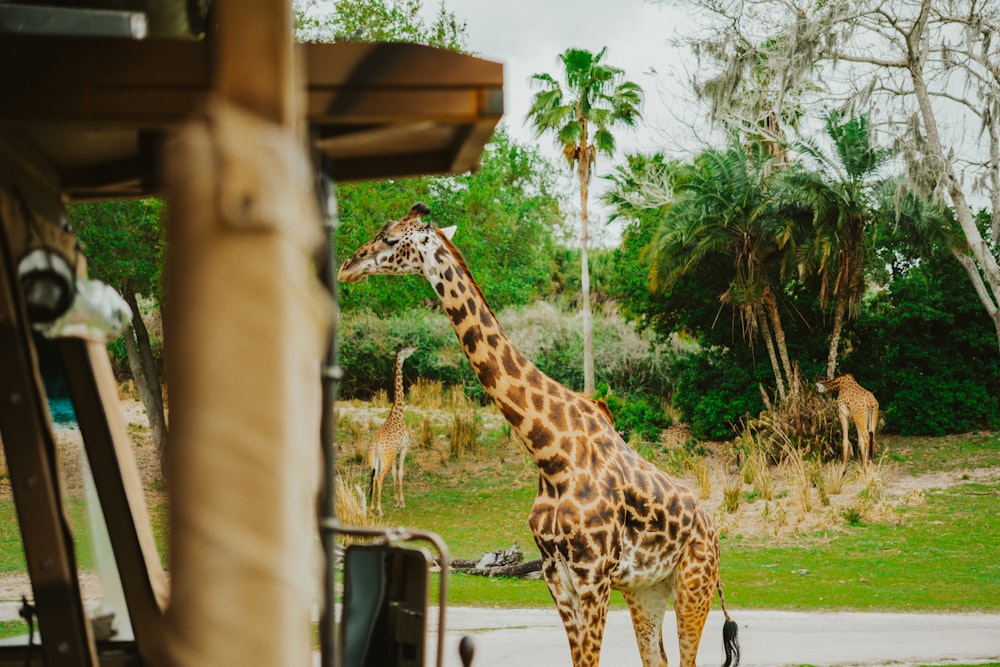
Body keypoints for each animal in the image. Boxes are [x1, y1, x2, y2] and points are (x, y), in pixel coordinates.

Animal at [366, 344, 416, 516]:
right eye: (406, 350)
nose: (416, 348)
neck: (398, 412)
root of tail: (376, 445)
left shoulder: (395, 452)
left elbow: (395, 473)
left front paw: (395, 501)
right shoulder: (404, 448)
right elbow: (400, 473)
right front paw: (402, 502)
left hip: (375, 459)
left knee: (374, 477)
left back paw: (371, 508)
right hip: (385, 457)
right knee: (380, 477)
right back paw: (380, 510)